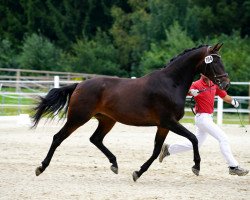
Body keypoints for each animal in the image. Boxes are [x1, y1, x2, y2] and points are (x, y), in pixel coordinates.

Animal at [33, 43, 230, 181]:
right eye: (215, 62)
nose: (226, 84)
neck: (170, 83)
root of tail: (79, 85)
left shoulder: (163, 126)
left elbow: (156, 150)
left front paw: (138, 172)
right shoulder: (169, 122)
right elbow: (193, 138)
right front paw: (196, 167)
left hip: (107, 120)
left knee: (95, 139)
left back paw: (114, 164)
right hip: (78, 118)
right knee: (58, 138)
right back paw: (41, 167)